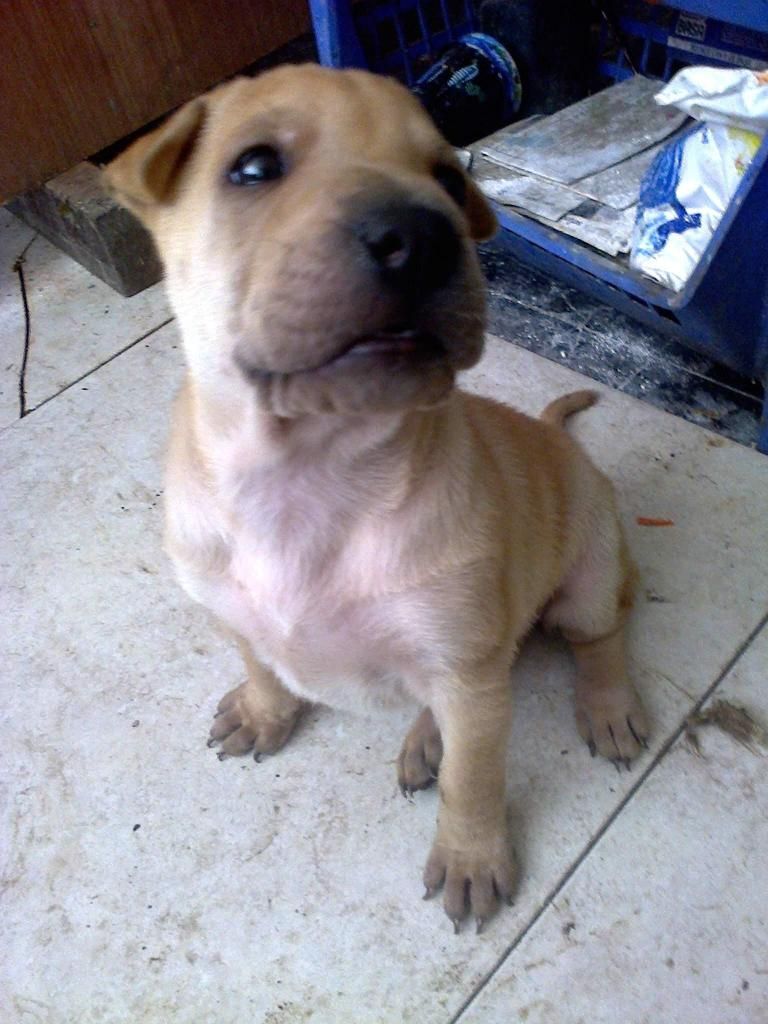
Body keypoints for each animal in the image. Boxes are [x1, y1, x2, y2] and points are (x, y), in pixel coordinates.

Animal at [108, 61, 651, 929]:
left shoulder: (467, 672)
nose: (424, 237)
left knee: (599, 638)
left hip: (590, 572)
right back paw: (425, 737)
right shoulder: (233, 611)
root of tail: (557, 437)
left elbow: (474, 779)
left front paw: (471, 857)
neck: (308, 474)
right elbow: (263, 664)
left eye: (448, 179)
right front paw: (265, 711)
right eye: (253, 167)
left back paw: (605, 707)